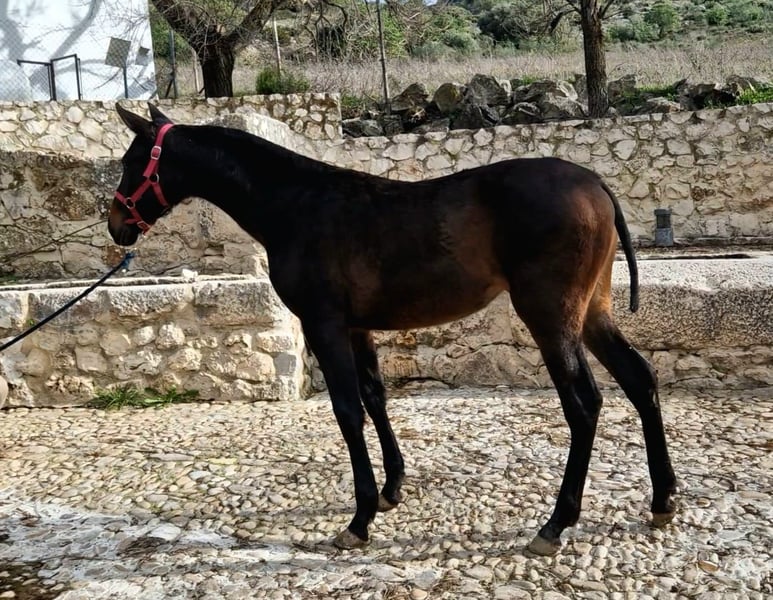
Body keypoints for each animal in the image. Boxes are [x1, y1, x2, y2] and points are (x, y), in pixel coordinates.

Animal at [108, 104, 676, 555]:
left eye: (132, 162)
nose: (117, 226)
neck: (297, 206)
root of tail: (595, 182)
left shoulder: (324, 325)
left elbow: (347, 411)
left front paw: (359, 520)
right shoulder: (358, 328)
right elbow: (375, 397)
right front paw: (391, 488)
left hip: (550, 314)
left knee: (583, 404)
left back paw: (556, 523)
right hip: (592, 311)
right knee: (639, 379)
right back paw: (663, 498)